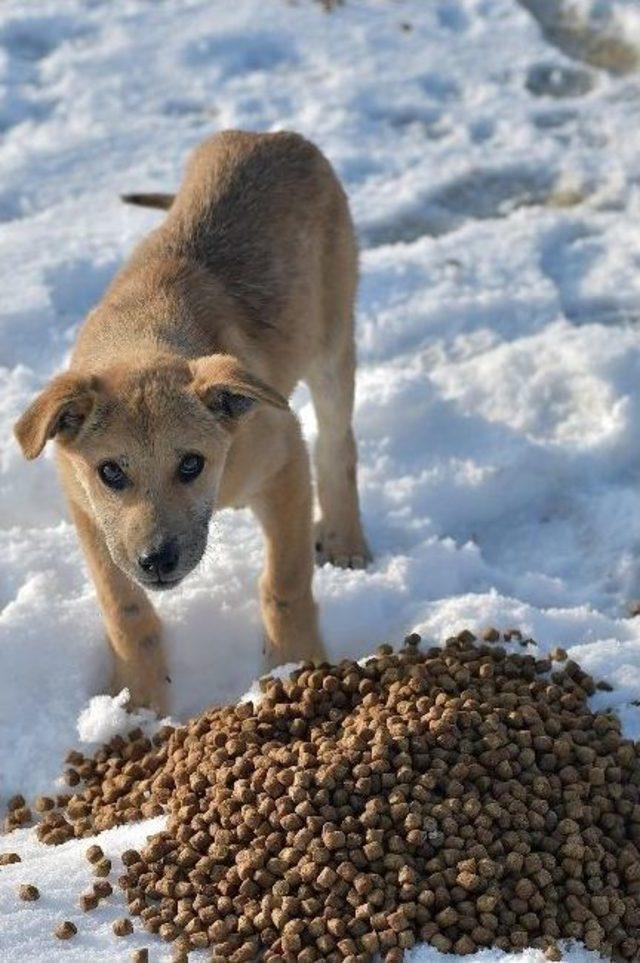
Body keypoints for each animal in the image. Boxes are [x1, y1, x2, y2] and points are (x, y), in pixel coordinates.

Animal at [13, 132, 370, 712]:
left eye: (191, 465)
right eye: (110, 472)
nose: (158, 560)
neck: (143, 338)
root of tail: (272, 136)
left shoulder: (285, 465)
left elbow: (285, 582)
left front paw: (297, 665)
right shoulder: (85, 509)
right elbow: (125, 609)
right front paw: (138, 701)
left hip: (333, 341)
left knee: (338, 447)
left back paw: (345, 541)